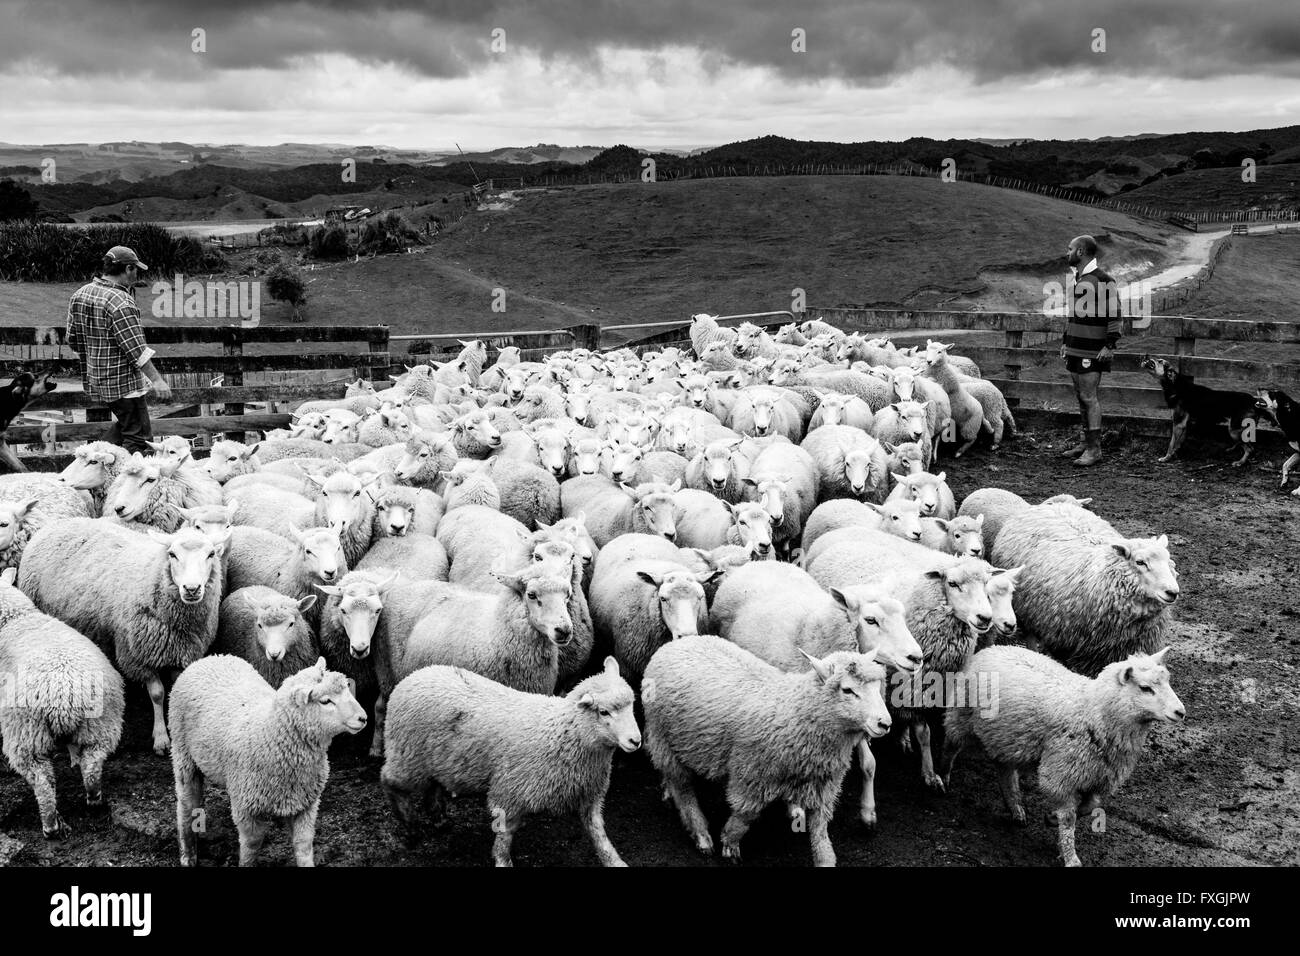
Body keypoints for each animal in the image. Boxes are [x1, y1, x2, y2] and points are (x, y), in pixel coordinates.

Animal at [169, 658, 366, 868]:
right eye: (325, 701)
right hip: (182, 753)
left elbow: (303, 845)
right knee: (186, 804)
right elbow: (251, 846)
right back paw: (188, 854)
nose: (363, 718)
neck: (270, 733)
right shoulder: (245, 807)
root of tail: (208, 658)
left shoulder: (306, 803)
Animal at [377, 658, 639, 868]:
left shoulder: (590, 795)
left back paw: (440, 819)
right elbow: (505, 835)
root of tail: (414, 676)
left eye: (632, 705)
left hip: (434, 760)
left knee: (432, 786)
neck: (561, 732)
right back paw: (410, 826)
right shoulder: (509, 792)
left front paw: (615, 861)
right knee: (390, 781)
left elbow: (598, 833)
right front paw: (503, 861)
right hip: (408, 756)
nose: (635, 740)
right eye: (604, 712)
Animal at [642, 634, 894, 868]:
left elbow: (820, 832)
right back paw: (700, 832)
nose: (885, 723)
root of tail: (677, 643)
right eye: (847, 690)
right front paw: (729, 843)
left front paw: (824, 858)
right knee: (682, 787)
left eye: (876, 687)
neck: (797, 711)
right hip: (663, 737)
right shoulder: (750, 774)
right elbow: (745, 815)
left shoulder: (822, 785)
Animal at [946, 642, 1190, 868]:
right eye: (1145, 688)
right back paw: (942, 778)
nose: (1181, 712)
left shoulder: (1100, 777)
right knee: (951, 744)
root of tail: (995, 647)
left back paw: (1016, 808)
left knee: (1005, 770)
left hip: (1007, 738)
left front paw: (1052, 819)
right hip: (962, 715)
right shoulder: (1060, 774)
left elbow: (1090, 807)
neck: (1093, 711)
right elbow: (1070, 816)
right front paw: (1071, 857)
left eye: (1168, 681)